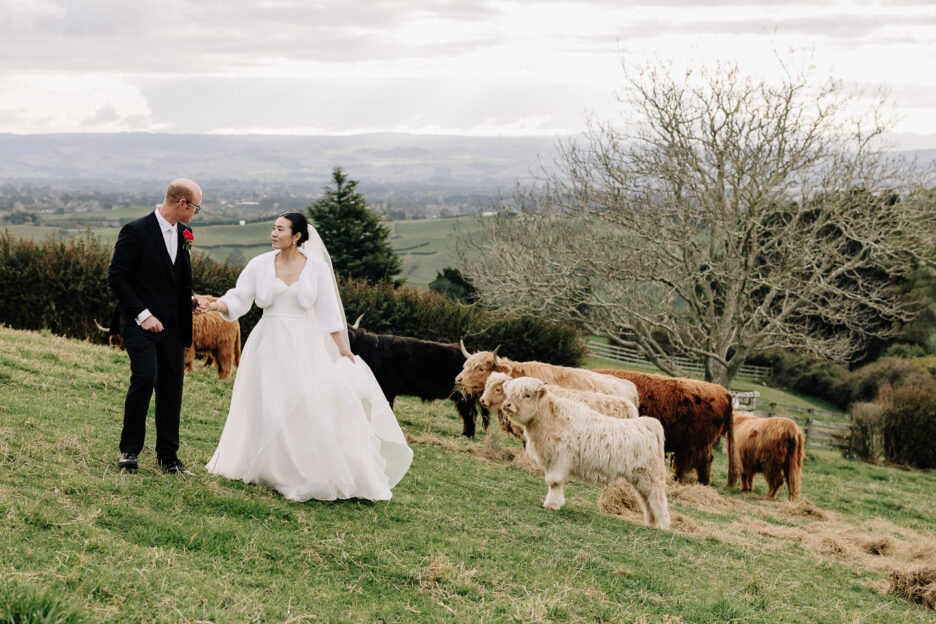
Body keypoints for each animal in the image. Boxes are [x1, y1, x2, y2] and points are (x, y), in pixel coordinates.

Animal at [500, 376, 668, 532]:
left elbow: (554, 482)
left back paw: (662, 525)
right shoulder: (550, 459)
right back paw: (651, 523)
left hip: (650, 476)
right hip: (639, 479)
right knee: (646, 500)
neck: (548, 419)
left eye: (527, 395)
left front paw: (552, 505)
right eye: (510, 393)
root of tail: (647, 424)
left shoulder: (559, 459)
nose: (507, 404)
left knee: (658, 499)